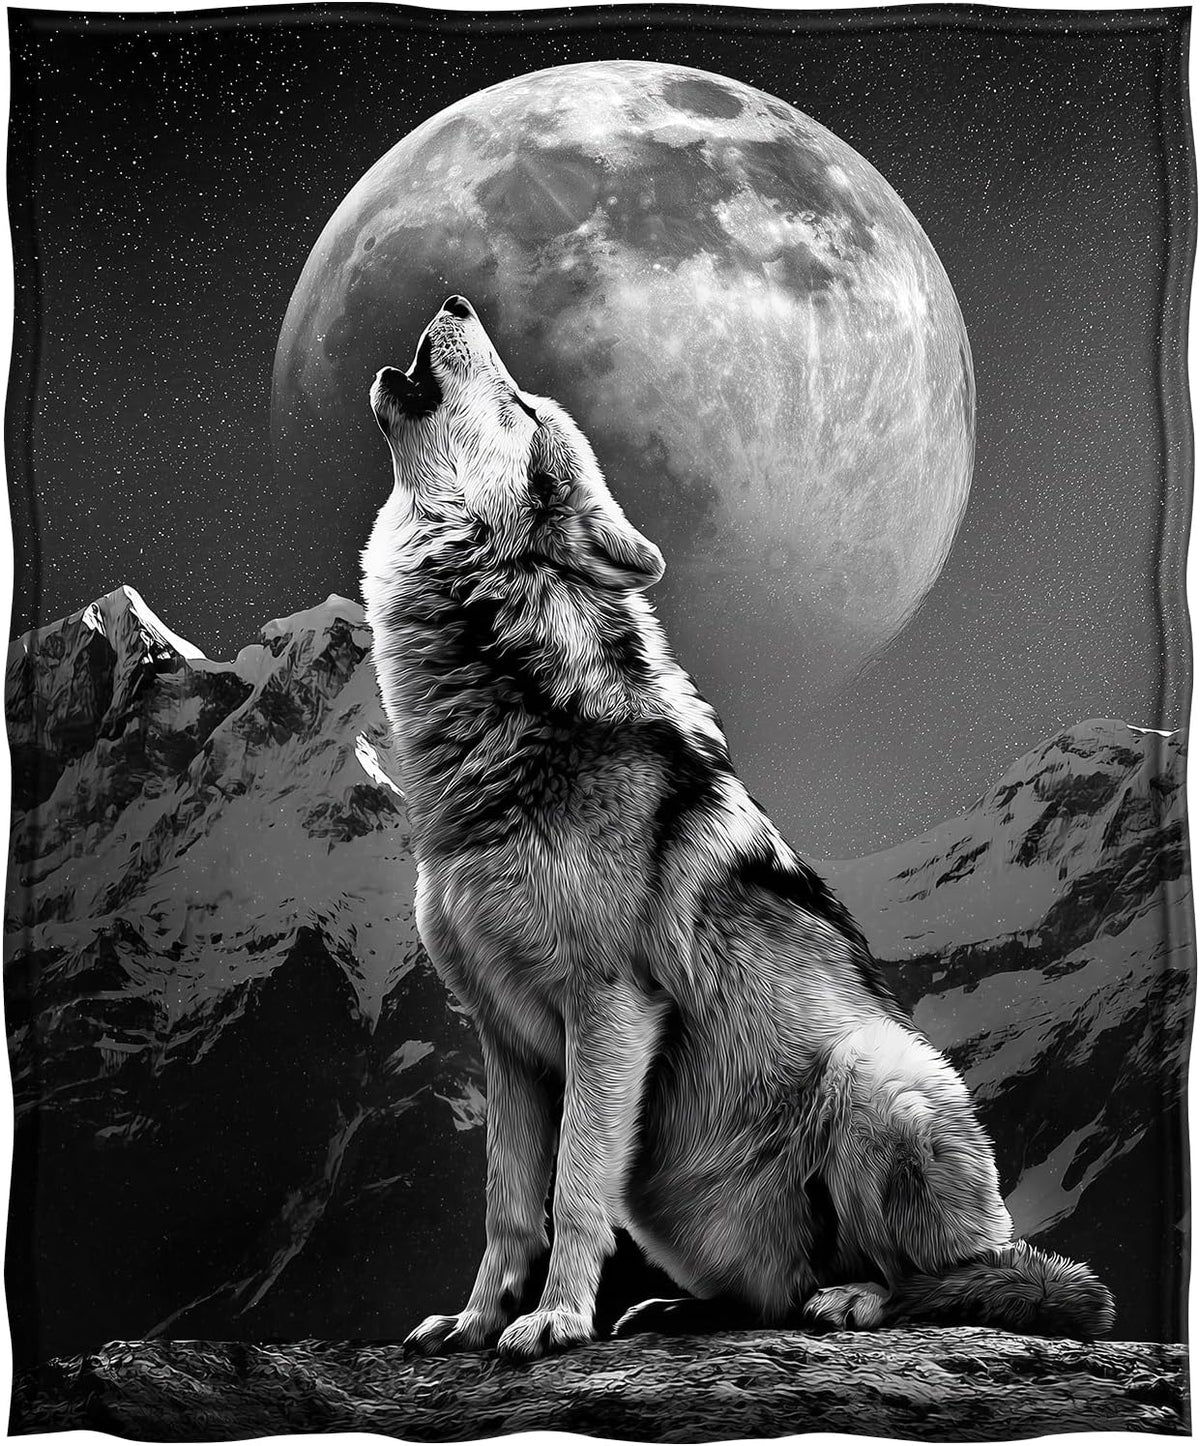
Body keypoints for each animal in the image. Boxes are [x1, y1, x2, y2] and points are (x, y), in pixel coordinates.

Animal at [361, 295, 1115, 1362]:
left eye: (521, 407)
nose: (460, 300)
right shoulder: (501, 1039)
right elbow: (508, 1206)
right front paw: (473, 1323)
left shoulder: (609, 1007)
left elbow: (573, 1187)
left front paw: (554, 1321)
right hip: (679, 1203)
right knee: (771, 1295)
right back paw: (681, 1310)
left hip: (876, 1077)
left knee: (942, 1281)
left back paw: (855, 1300)